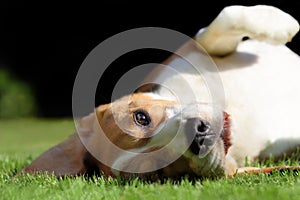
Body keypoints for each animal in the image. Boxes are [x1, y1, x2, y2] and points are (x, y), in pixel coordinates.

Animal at [19, 5, 300, 179]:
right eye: (158, 172)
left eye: (141, 117)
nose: (197, 135)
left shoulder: (193, 49)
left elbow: (222, 22)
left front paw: (278, 23)